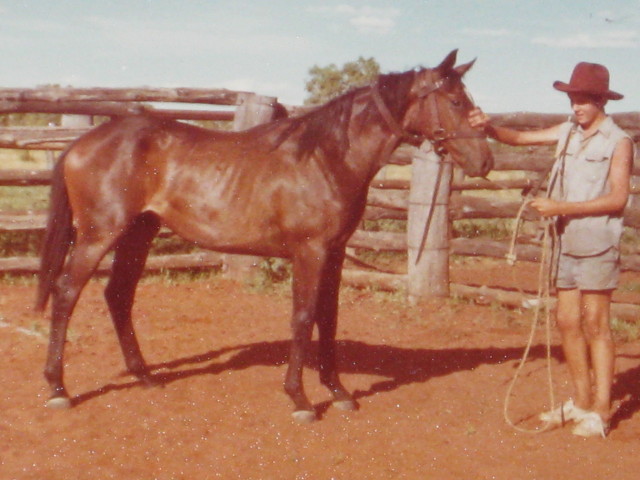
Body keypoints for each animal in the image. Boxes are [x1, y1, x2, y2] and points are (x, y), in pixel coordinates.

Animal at [36, 50, 496, 422]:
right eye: (455, 101)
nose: (485, 161)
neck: (326, 157)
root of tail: (81, 143)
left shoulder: (335, 253)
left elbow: (328, 319)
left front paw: (339, 392)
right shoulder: (310, 252)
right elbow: (303, 317)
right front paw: (301, 400)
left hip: (139, 233)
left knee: (118, 295)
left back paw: (145, 376)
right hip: (98, 234)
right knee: (66, 293)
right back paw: (59, 389)